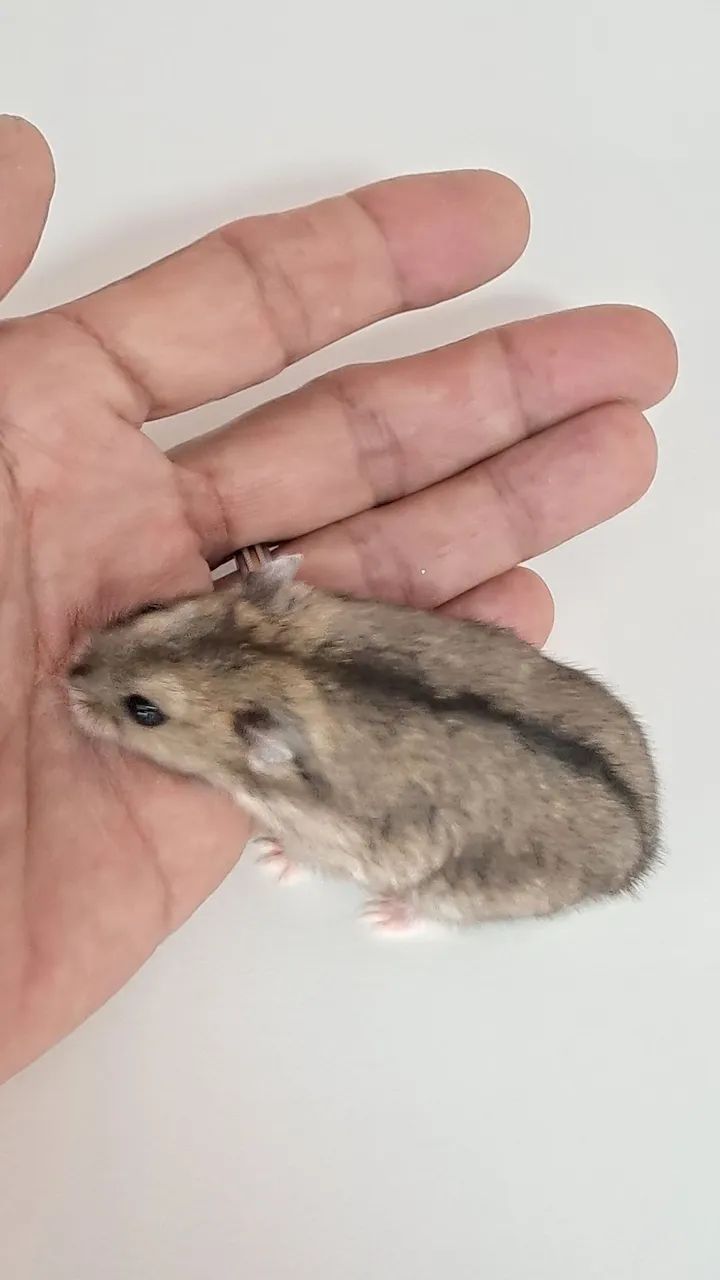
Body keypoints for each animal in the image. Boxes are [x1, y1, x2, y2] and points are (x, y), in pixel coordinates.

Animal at [67, 555, 659, 932]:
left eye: (145, 711)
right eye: (147, 609)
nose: (66, 678)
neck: (282, 668)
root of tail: (643, 856)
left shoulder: (322, 835)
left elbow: (300, 852)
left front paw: (268, 856)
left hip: (466, 889)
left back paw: (382, 915)